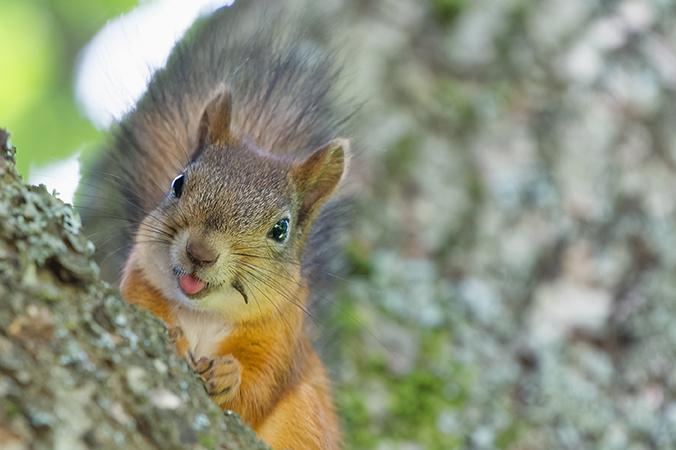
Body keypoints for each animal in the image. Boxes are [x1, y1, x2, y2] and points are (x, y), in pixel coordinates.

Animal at [81, 1, 352, 448]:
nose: (200, 253)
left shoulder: (281, 341)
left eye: (281, 229)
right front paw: (171, 335)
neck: (203, 315)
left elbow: (255, 394)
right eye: (178, 183)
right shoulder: (138, 284)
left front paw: (229, 375)